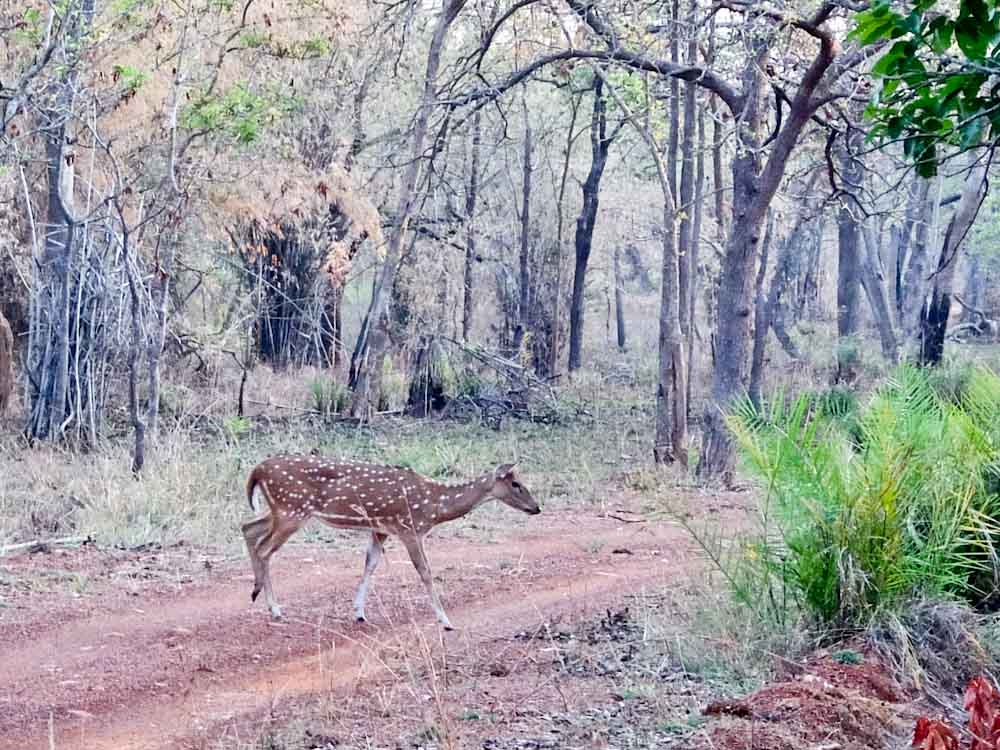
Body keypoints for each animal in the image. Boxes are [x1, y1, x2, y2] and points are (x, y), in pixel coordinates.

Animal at [241, 455, 540, 629]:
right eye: (516, 484)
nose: (536, 508)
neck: (435, 506)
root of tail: (257, 470)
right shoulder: (409, 528)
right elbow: (425, 571)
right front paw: (445, 620)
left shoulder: (380, 528)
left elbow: (370, 564)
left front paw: (359, 613)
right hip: (292, 509)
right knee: (264, 548)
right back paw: (275, 609)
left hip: (281, 510)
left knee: (249, 528)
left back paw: (256, 592)